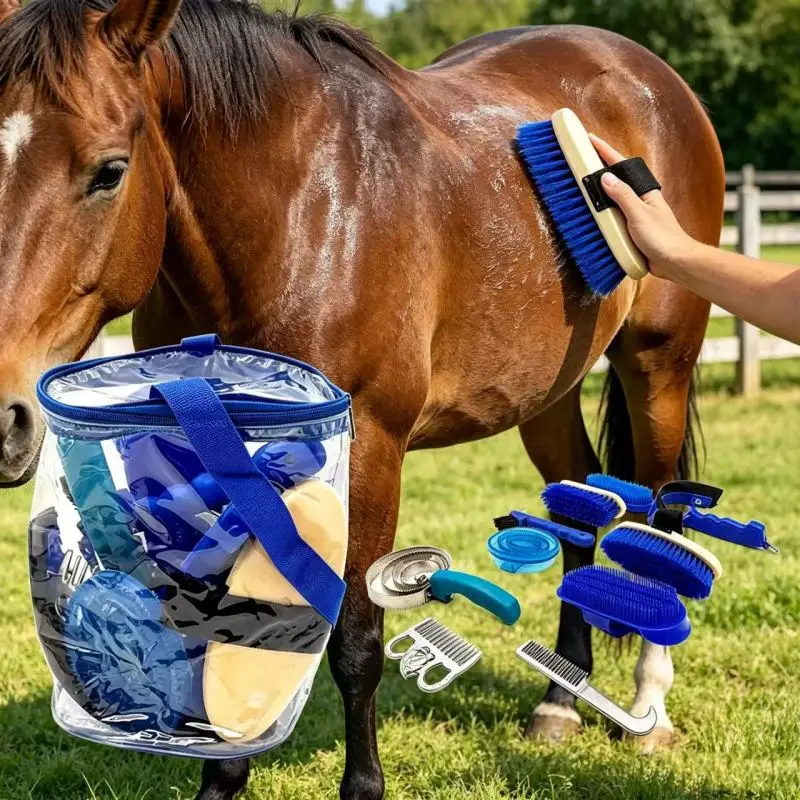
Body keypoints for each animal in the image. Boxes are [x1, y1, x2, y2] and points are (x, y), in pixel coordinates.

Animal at [0, 0, 723, 797]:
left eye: (110, 171)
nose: (4, 417)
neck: (300, 218)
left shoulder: (371, 449)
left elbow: (356, 641)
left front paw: (362, 785)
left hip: (659, 365)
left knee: (660, 519)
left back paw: (648, 707)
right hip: (546, 395)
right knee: (576, 513)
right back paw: (559, 702)